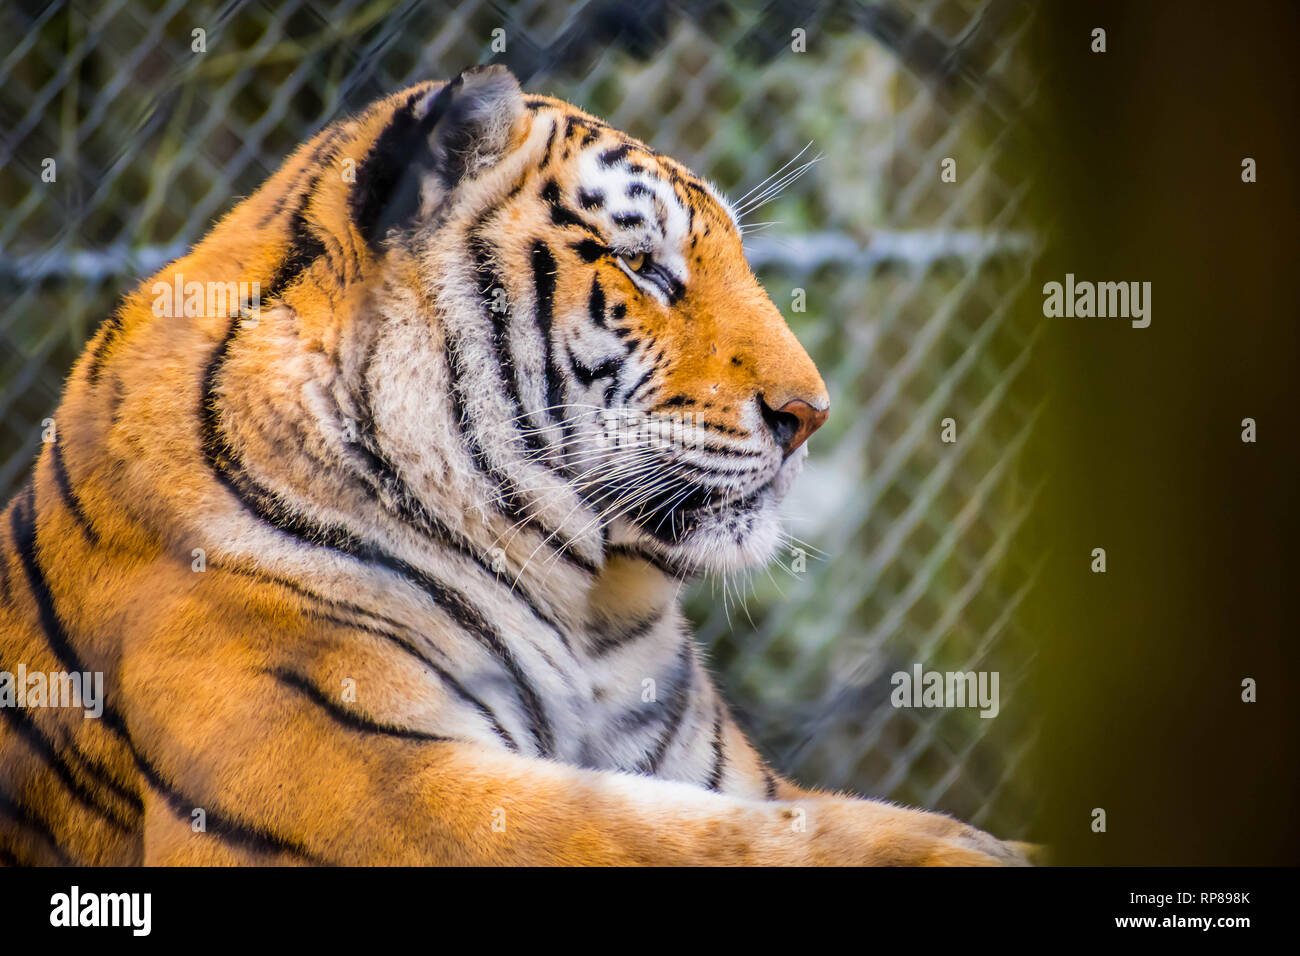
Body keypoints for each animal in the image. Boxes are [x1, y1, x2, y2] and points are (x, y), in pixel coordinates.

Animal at [2, 63, 1034, 863]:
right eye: (644, 267)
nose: (811, 416)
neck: (586, 607)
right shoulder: (359, 777)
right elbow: (655, 836)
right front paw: (964, 850)